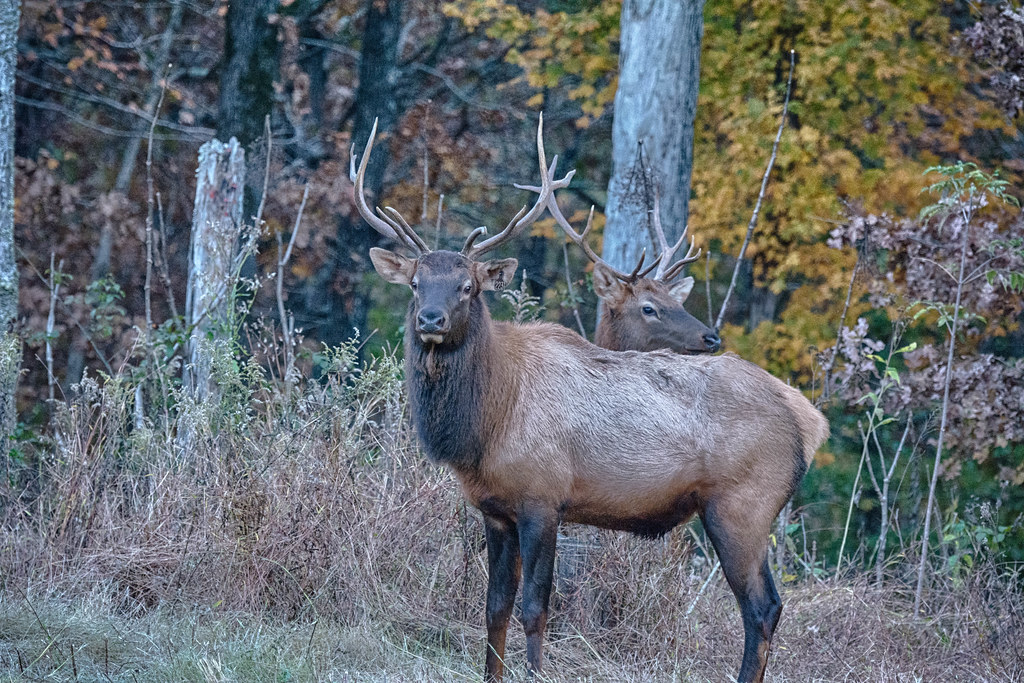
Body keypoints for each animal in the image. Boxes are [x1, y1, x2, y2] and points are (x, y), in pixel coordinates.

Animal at [349, 116, 829, 683]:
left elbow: (536, 607)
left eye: (468, 286)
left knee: (763, 607)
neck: (485, 422)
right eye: (416, 283)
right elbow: (494, 607)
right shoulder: (494, 509)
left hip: (743, 506)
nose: (431, 319)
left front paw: (535, 673)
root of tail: (810, 419)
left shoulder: (543, 497)